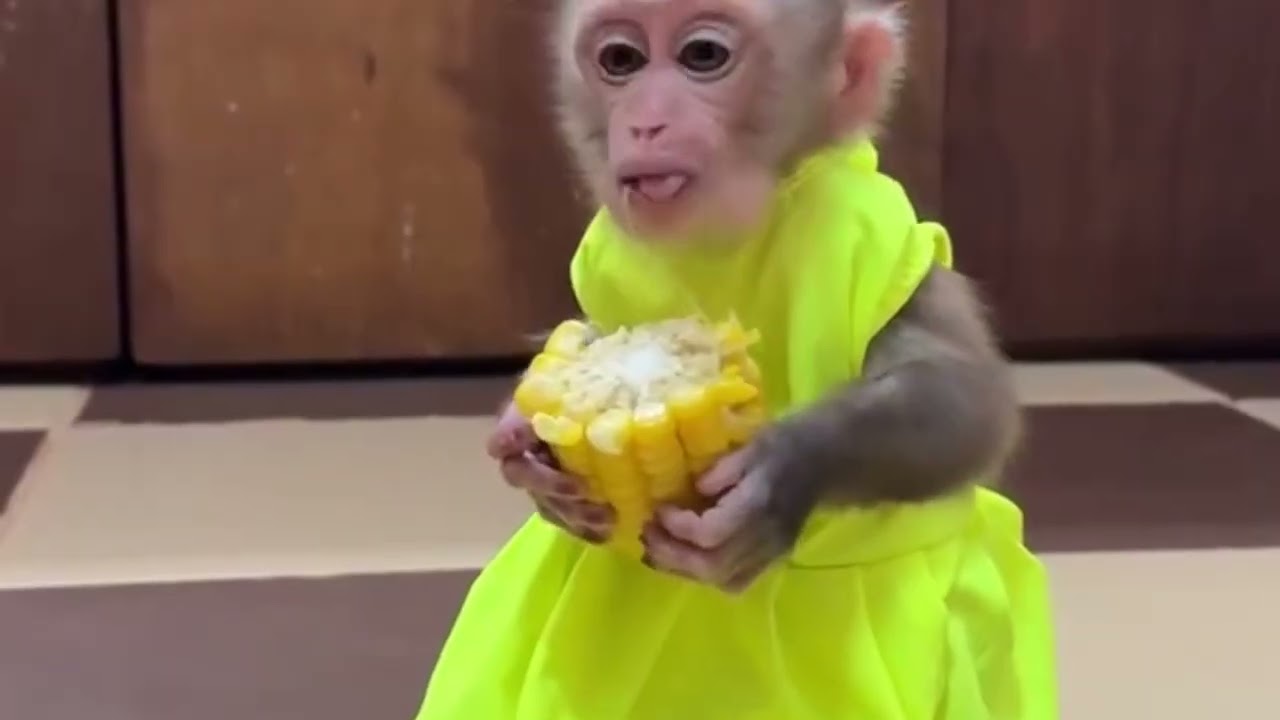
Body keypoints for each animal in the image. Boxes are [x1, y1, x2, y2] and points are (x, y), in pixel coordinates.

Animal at [414, 1, 1058, 718]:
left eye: (703, 56)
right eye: (620, 61)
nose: (645, 120)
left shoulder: (874, 236)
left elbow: (959, 397)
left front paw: (785, 471)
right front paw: (526, 455)